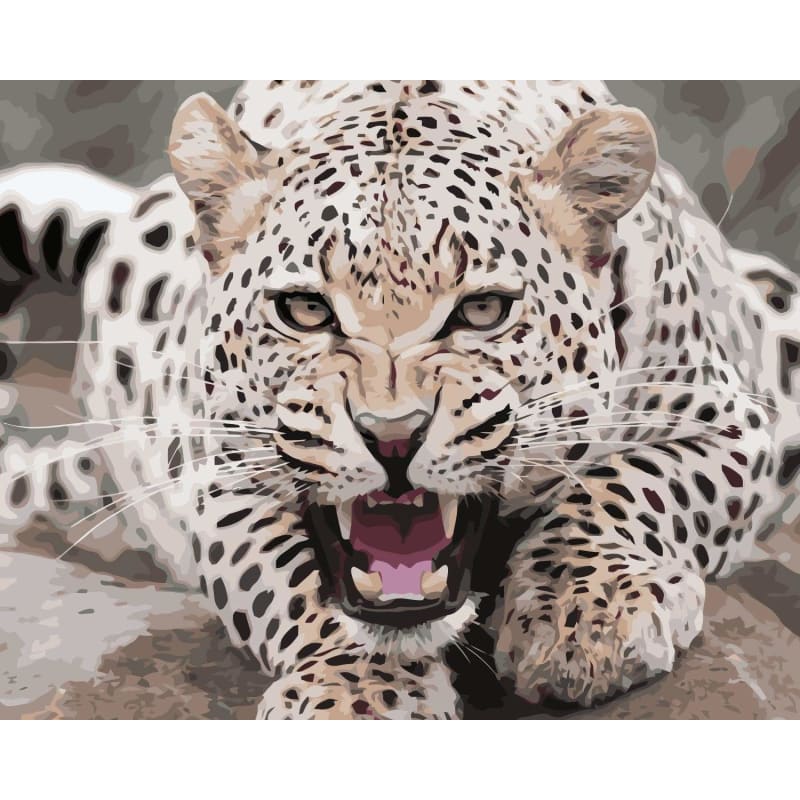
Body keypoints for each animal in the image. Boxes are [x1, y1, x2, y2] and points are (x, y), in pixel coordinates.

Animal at [2, 80, 800, 719]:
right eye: (305, 311)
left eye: (482, 311)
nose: (392, 436)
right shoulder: (217, 470)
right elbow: (293, 584)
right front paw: (357, 697)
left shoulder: (730, 420)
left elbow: (625, 487)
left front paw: (583, 618)